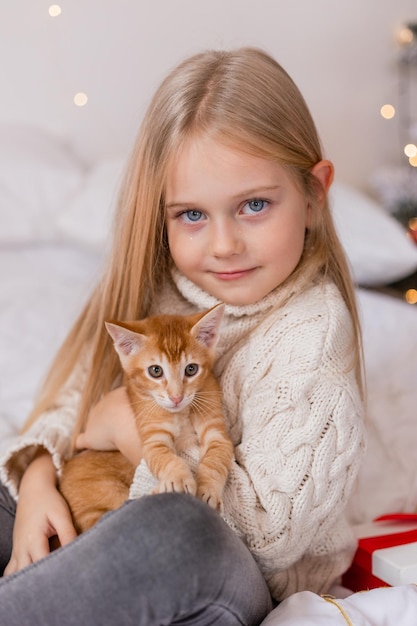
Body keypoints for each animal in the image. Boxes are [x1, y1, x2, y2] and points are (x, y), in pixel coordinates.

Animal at [59, 302, 234, 532]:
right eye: (155, 371)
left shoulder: (217, 431)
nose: (176, 397)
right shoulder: (152, 438)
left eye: (191, 369)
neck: (181, 413)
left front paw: (209, 489)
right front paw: (179, 477)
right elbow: (165, 457)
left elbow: (216, 458)